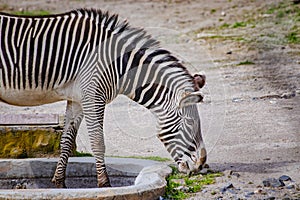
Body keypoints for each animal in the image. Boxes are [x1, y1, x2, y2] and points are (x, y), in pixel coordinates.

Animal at [0, 9, 206, 188]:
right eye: (190, 123)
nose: (201, 165)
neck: (118, 65)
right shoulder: (93, 97)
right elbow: (98, 142)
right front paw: (104, 184)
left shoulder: (78, 99)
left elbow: (66, 141)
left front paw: (59, 183)